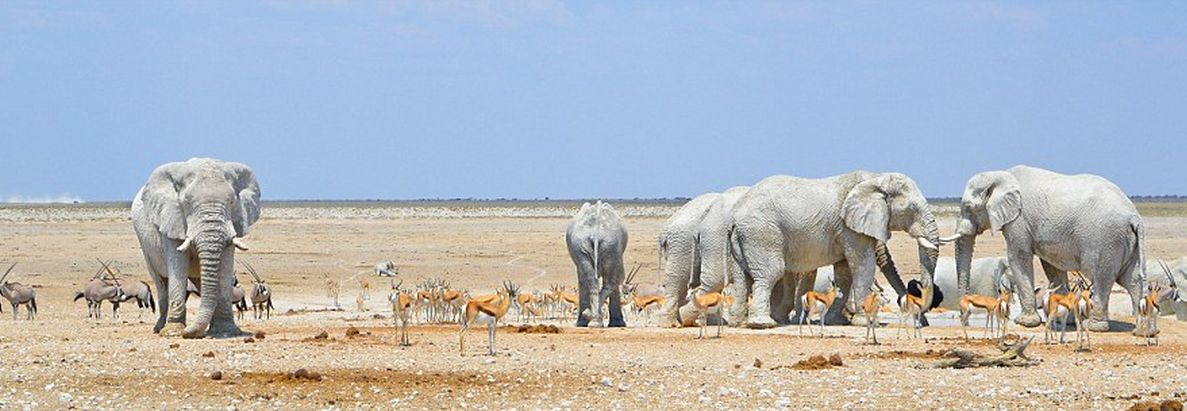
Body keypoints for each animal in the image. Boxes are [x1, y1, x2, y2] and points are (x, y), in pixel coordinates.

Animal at [131, 156, 258, 337]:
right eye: (187, 202)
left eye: (232, 201)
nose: (187, 332)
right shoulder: (171, 220)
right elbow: (178, 265)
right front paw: (174, 332)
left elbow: (225, 267)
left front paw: (227, 331)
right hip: (145, 247)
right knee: (161, 282)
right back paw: (159, 328)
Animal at [726, 172, 940, 330]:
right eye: (912, 209)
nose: (922, 323)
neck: (875, 177)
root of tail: (735, 215)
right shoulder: (850, 229)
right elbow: (862, 265)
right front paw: (867, 322)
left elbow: (844, 272)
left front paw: (837, 321)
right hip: (761, 233)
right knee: (771, 273)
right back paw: (762, 324)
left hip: (743, 238)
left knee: (742, 278)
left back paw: (738, 323)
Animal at [944, 165, 1149, 332]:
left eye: (969, 207)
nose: (964, 319)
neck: (1001, 175)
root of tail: (1135, 217)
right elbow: (1052, 267)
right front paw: (1063, 321)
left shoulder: (1019, 221)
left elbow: (1018, 258)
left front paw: (1025, 323)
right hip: (1126, 241)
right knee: (1132, 280)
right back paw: (1142, 329)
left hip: (1106, 240)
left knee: (1101, 278)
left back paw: (1097, 326)